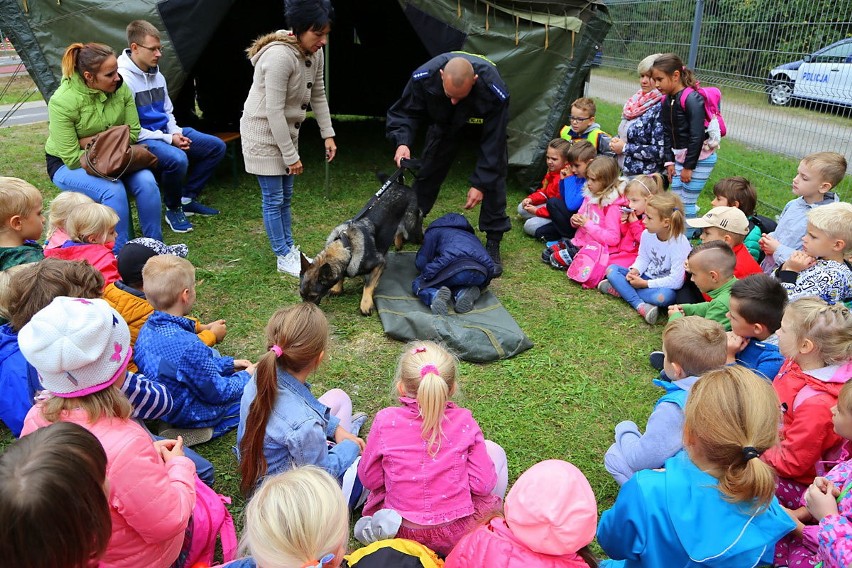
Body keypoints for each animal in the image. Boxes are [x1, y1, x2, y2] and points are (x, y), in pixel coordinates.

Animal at [300, 161, 422, 316]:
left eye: (313, 296)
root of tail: (400, 185)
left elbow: (368, 285)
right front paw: (338, 287)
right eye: (301, 295)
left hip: (411, 227)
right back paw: (398, 242)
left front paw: (366, 303)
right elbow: (341, 277)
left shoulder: (380, 263)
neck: (347, 245)